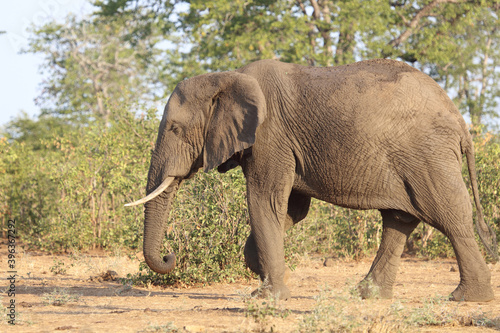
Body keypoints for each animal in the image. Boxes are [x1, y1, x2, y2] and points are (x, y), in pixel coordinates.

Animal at [127, 57, 498, 300]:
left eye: (175, 129)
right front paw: (261, 272)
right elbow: (290, 209)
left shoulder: (271, 136)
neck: (227, 77)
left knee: (450, 218)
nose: (170, 256)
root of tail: (460, 122)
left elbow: (265, 200)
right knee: (399, 220)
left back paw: (467, 298)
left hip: (427, 156)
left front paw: (267, 297)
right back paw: (366, 295)